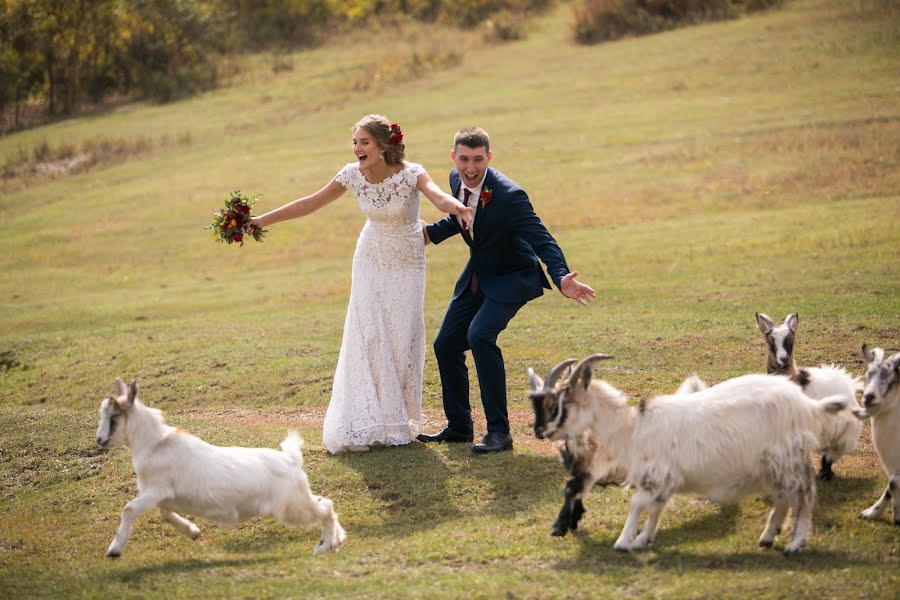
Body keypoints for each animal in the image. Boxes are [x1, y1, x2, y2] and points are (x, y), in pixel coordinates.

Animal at [95, 380, 346, 556]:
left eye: (114, 416)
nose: (99, 440)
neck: (155, 443)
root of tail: (290, 459)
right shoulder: (164, 496)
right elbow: (165, 513)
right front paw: (193, 532)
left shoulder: (157, 489)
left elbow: (129, 509)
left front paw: (114, 550)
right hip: (297, 500)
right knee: (325, 502)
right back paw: (335, 540)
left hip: (290, 507)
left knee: (324, 509)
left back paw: (324, 546)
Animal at [532, 354, 860, 556]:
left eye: (563, 401)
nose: (542, 431)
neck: (633, 428)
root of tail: (807, 405)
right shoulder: (664, 480)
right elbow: (655, 508)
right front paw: (643, 539)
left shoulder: (657, 473)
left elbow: (638, 504)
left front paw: (624, 542)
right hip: (775, 463)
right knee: (783, 497)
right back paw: (768, 537)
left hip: (789, 458)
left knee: (804, 496)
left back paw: (795, 543)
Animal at [756, 312, 860, 480]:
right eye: (770, 341)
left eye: (790, 340)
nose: (783, 359)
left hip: (844, 432)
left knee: (830, 454)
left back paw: (826, 475)